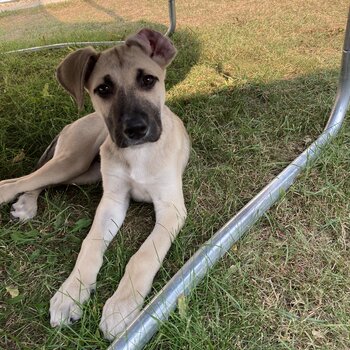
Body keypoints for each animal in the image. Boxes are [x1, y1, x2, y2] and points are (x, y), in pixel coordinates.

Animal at [0, 28, 189, 340]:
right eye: (103, 89)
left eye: (148, 80)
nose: (135, 130)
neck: (139, 154)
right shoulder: (112, 201)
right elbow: (91, 243)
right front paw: (70, 294)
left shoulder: (171, 209)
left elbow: (143, 255)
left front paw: (121, 306)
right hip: (73, 160)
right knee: (19, 179)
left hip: (83, 172)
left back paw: (27, 203)